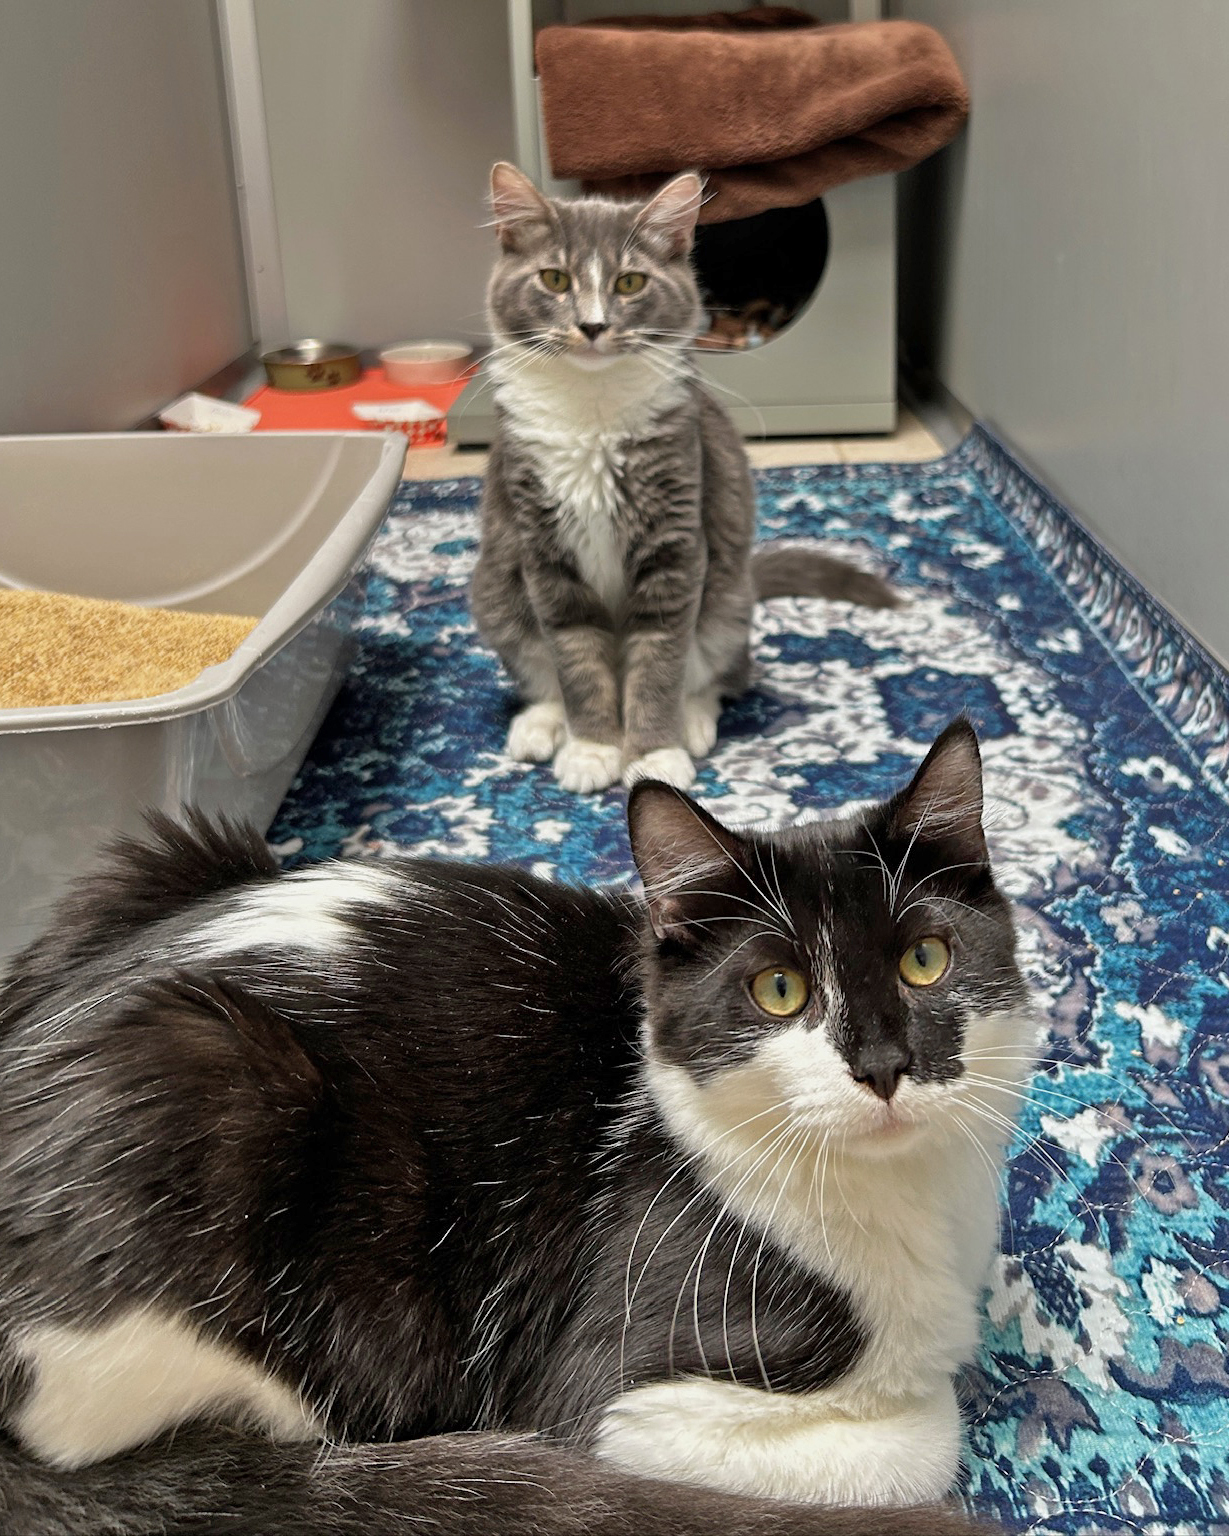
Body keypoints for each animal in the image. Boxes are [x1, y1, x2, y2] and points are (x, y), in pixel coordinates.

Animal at [0, 720, 1030, 1534]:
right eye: (779, 990)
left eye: (925, 960)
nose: (882, 1064)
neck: (918, 1197)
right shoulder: (616, 1398)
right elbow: (919, 1441)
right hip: (205, 1089)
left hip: (163, 856)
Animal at [471, 162, 897, 796]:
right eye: (554, 279)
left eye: (629, 284)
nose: (592, 325)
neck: (592, 409)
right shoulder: (544, 550)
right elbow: (575, 659)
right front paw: (594, 748)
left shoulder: (676, 541)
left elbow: (659, 661)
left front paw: (654, 755)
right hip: (495, 593)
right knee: (540, 672)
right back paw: (540, 726)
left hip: (727, 599)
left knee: (723, 675)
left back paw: (693, 722)